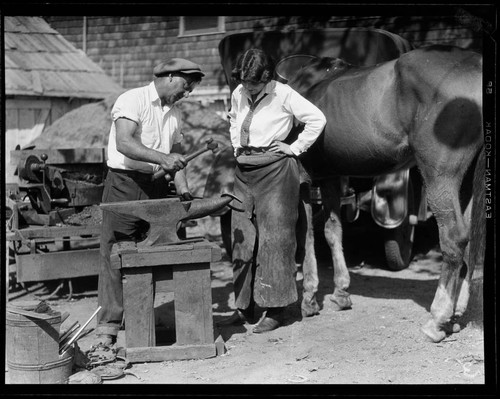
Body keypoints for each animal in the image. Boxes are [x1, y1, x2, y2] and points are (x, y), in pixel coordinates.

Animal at [290, 44, 484, 344]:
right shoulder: (331, 177)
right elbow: (333, 231)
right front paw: (341, 292)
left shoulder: (303, 176)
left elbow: (306, 235)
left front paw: (309, 298)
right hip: (466, 179)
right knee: (470, 241)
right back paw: (454, 314)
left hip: (440, 176)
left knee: (454, 238)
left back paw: (437, 319)